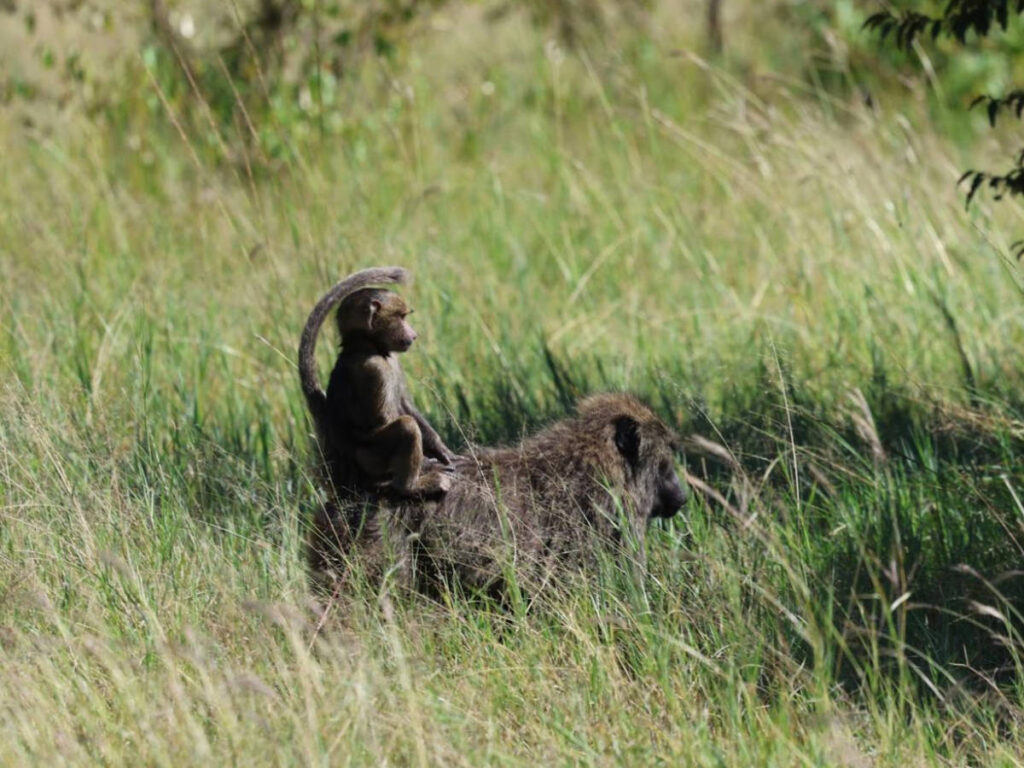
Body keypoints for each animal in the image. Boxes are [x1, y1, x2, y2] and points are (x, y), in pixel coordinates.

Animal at [298, 267, 456, 501]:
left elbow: (405, 403)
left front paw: (441, 450)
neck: (370, 347)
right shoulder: (374, 369)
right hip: (370, 460)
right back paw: (410, 487)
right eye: (401, 317)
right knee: (407, 426)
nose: (414, 335)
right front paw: (428, 465)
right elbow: (385, 419)